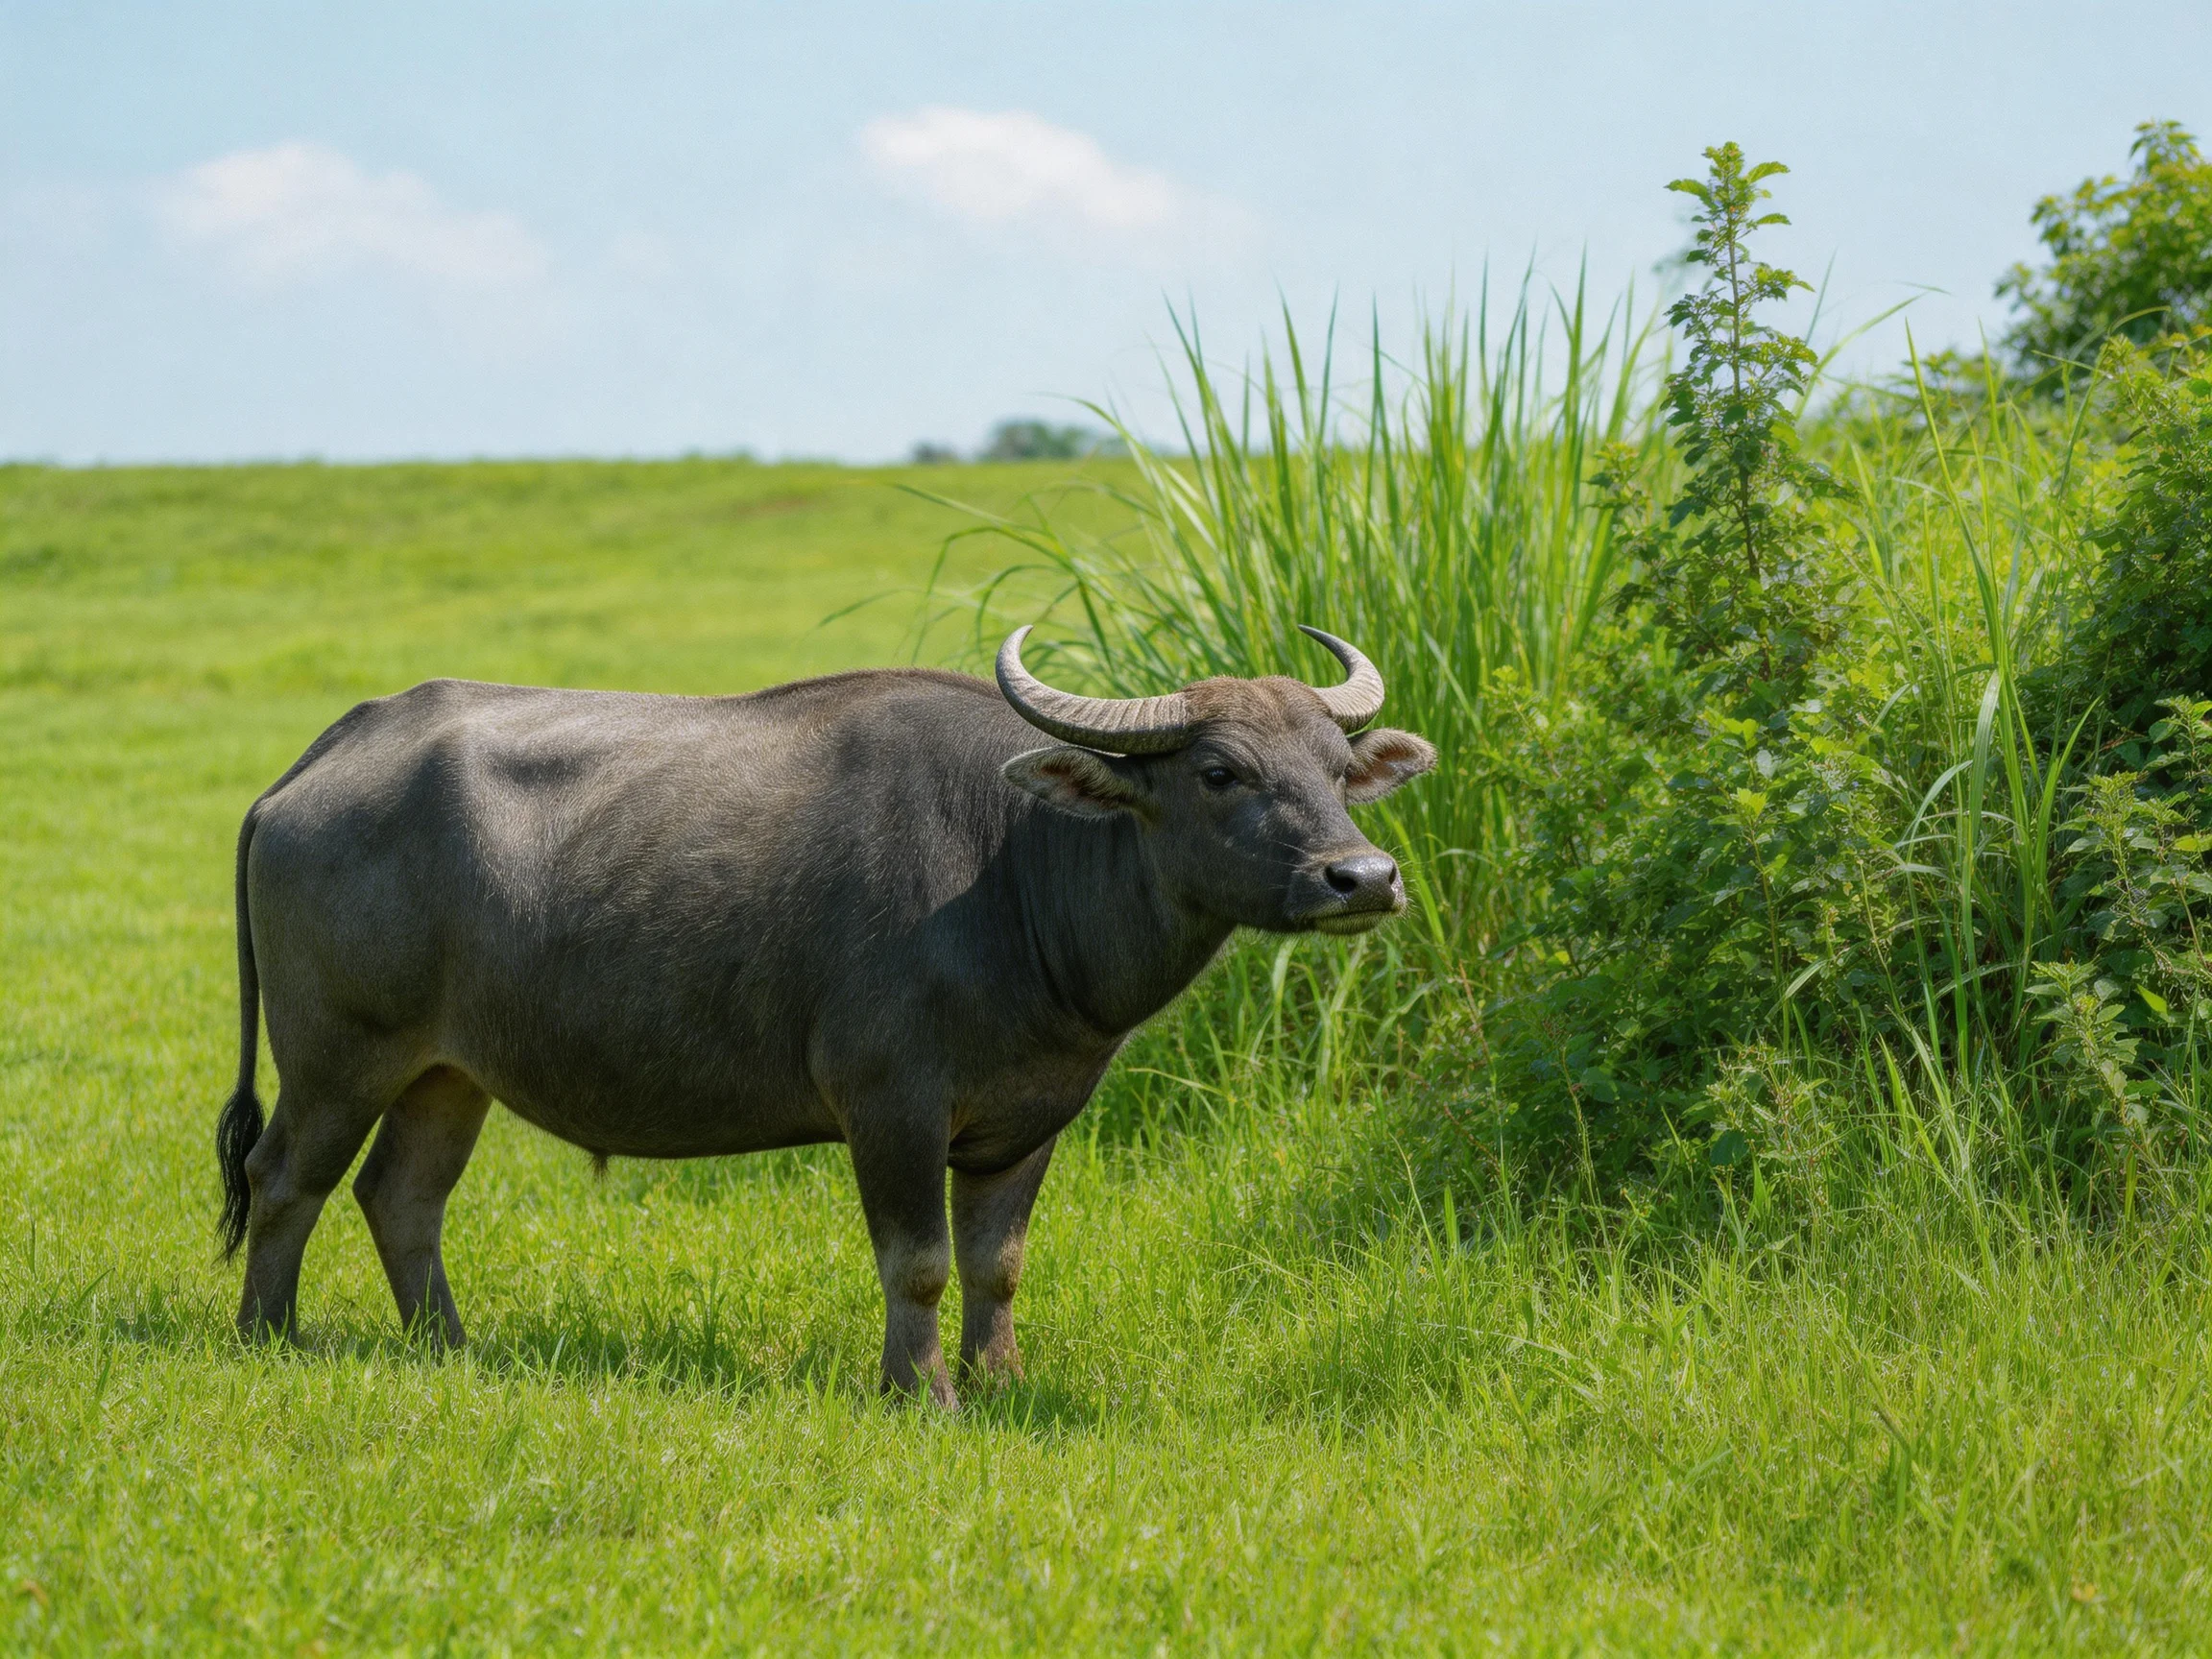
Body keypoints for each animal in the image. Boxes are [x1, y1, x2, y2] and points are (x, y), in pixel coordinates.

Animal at [216, 627, 1435, 1405]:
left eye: (1336, 768)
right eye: (1220, 770)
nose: (1363, 877)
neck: (1014, 872)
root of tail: (324, 756)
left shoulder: (1028, 1121)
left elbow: (998, 1262)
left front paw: (1000, 1384)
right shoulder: (890, 1106)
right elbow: (922, 1261)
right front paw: (921, 1392)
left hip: (448, 1071)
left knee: (401, 1196)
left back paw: (452, 1348)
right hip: (337, 1056)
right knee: (285, 1180)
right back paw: (268, 1335)